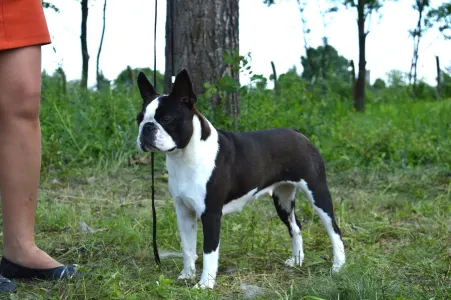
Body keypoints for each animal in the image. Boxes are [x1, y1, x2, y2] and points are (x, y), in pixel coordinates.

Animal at [136, 69, 344, 288]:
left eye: (167, 119)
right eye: (139, 119)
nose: (146, 127)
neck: (184, 156)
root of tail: (299, 134)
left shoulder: (211, 214)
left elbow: (209, 251)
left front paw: (205, 285)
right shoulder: (184, 212)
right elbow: (187, 247)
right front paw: (187, 275)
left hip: (317, 192)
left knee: (334, 229)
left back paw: (338, 266)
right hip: (283, 199)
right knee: (296, 226)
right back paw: (296, 260)